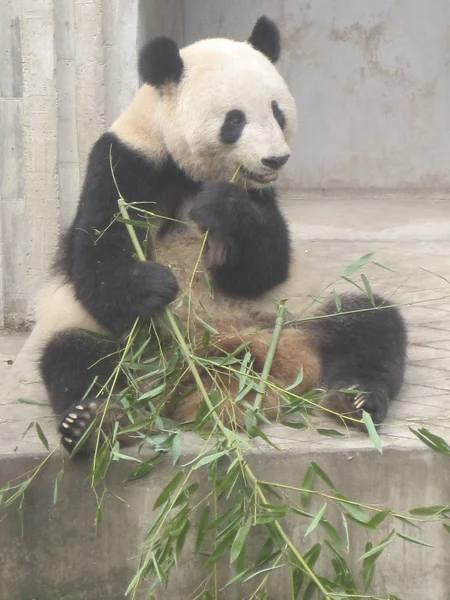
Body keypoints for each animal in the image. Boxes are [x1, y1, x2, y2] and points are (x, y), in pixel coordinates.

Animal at [35, 16, 408, 452]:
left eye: (277, 112)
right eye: (235, 120)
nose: (275, 159)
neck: (185, 168)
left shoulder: (260, 194)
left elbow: (265, 265)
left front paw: (222, 208)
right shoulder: (122, 162)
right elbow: (97, 256)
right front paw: (154, 284)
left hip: (298, 312)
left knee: (368, 321)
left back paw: (355, 399)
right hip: (119, 339)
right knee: (79, 357)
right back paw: (95, 422)